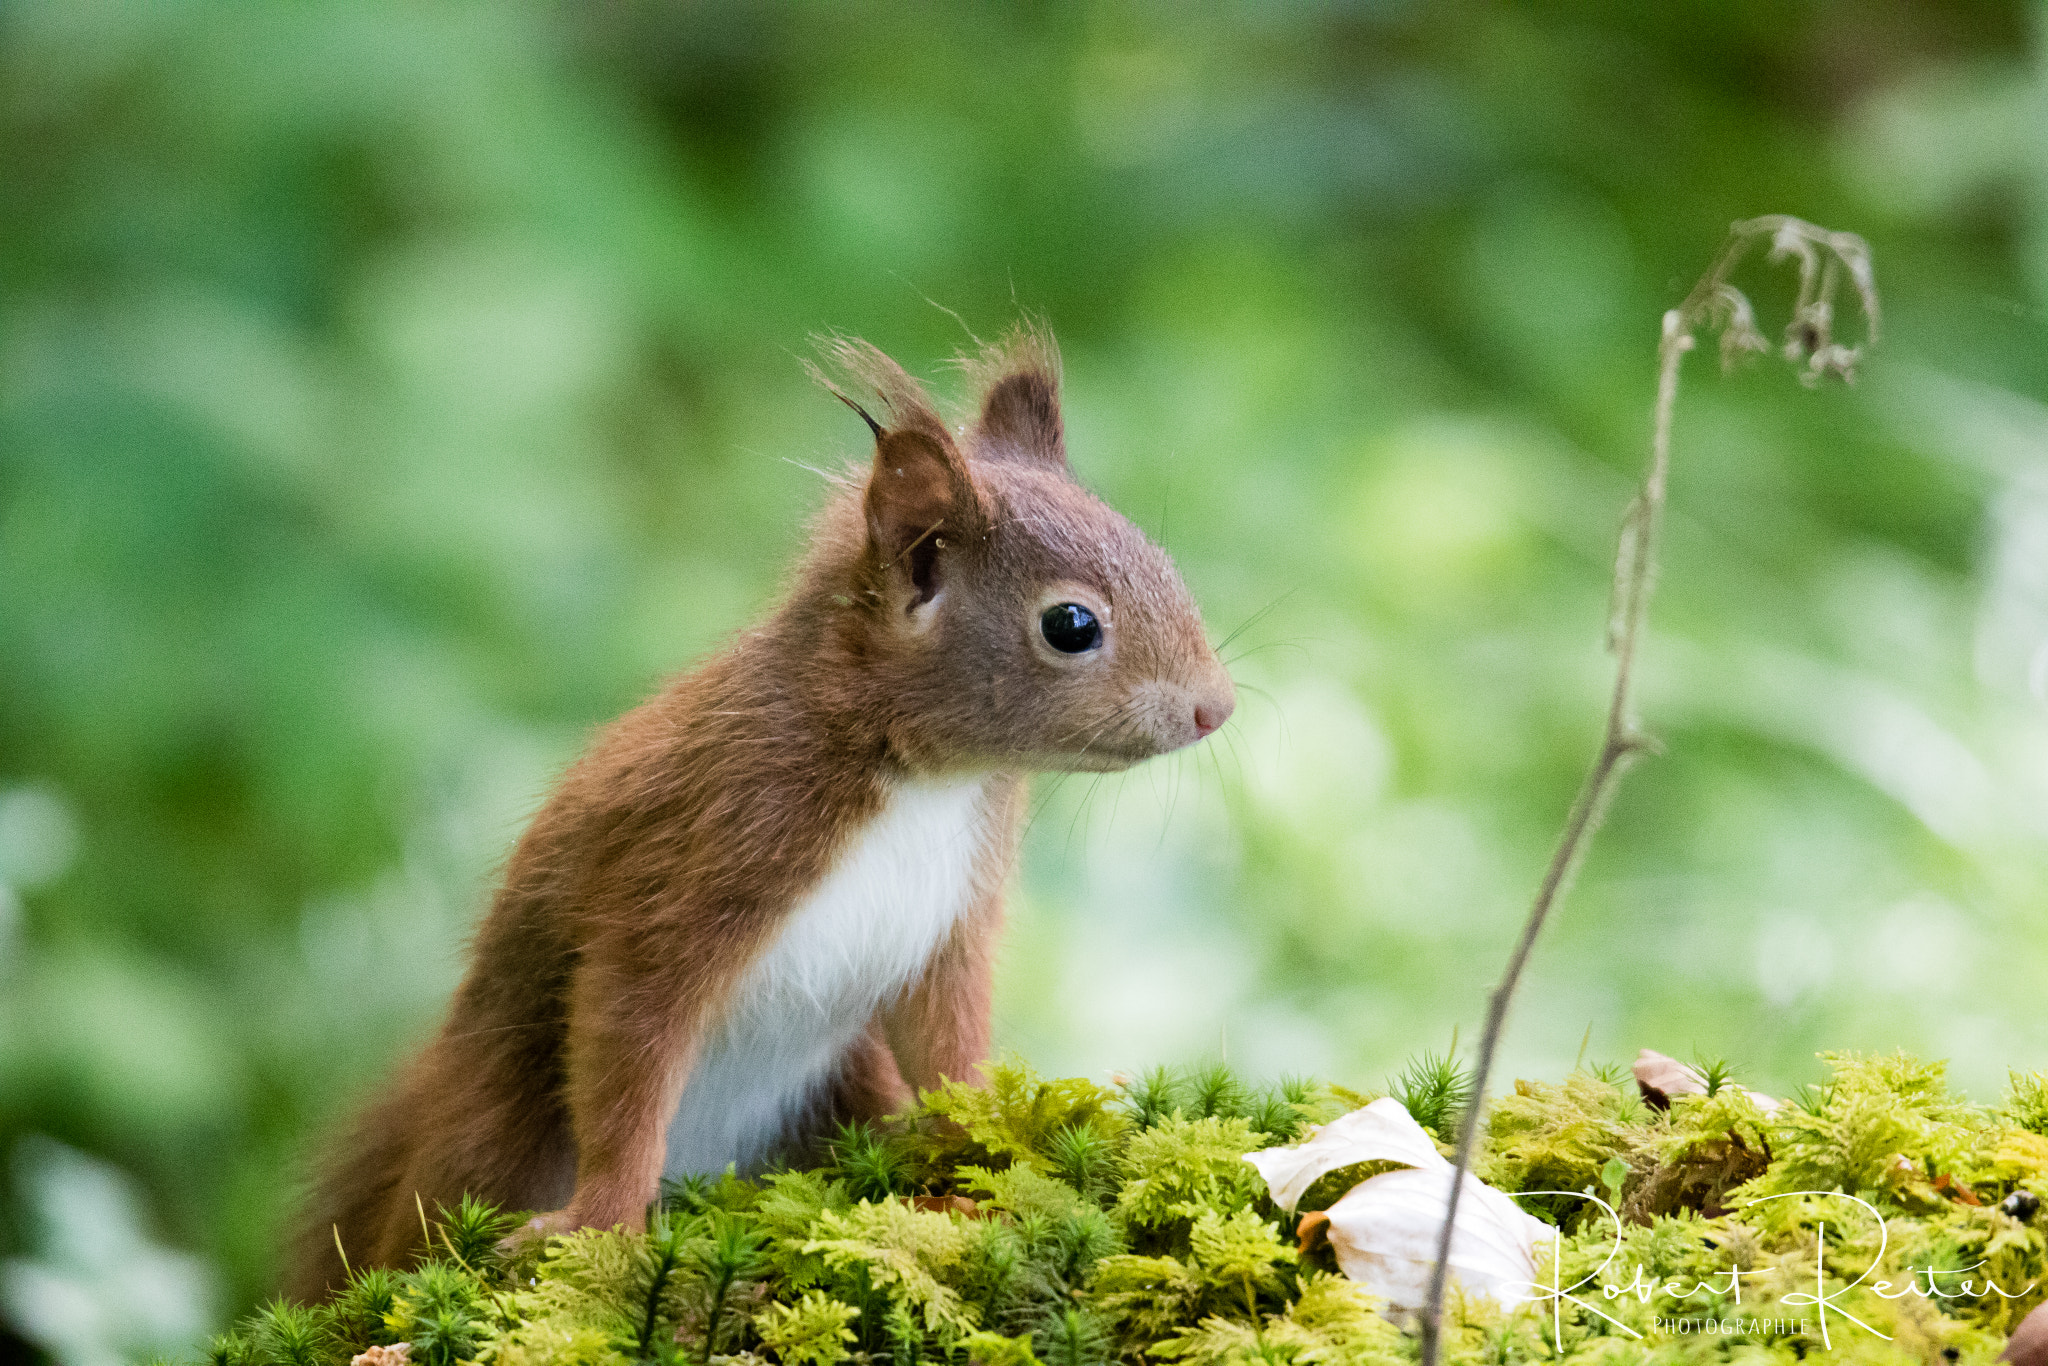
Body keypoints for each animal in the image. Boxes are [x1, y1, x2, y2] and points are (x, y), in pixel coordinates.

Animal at [288, 325, 1235, 1299]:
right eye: (1071, 626)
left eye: (1159, 556)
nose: (1216, 708)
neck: (919, 780)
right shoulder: (705, 847)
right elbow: (628, 1044)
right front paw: (602, 1224)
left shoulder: (949, 922)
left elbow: (950, 1050)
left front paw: (989, 1160)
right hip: (490, 1137)